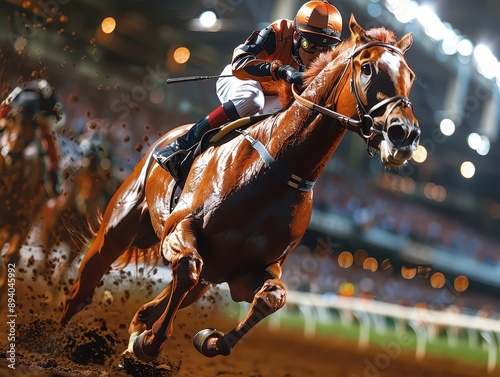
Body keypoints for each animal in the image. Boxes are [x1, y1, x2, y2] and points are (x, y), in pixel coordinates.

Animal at [61, 16, 422, 362]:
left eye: (410, 75)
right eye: (367, 67)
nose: (404, 134)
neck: (276, 168)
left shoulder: (246, 271)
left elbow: (273, 297)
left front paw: (210, 340)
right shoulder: (179, 230)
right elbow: (188, 267)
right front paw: (151, 344)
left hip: (204, 275)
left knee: (156, 305)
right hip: (118, 228)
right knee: (84, 286)